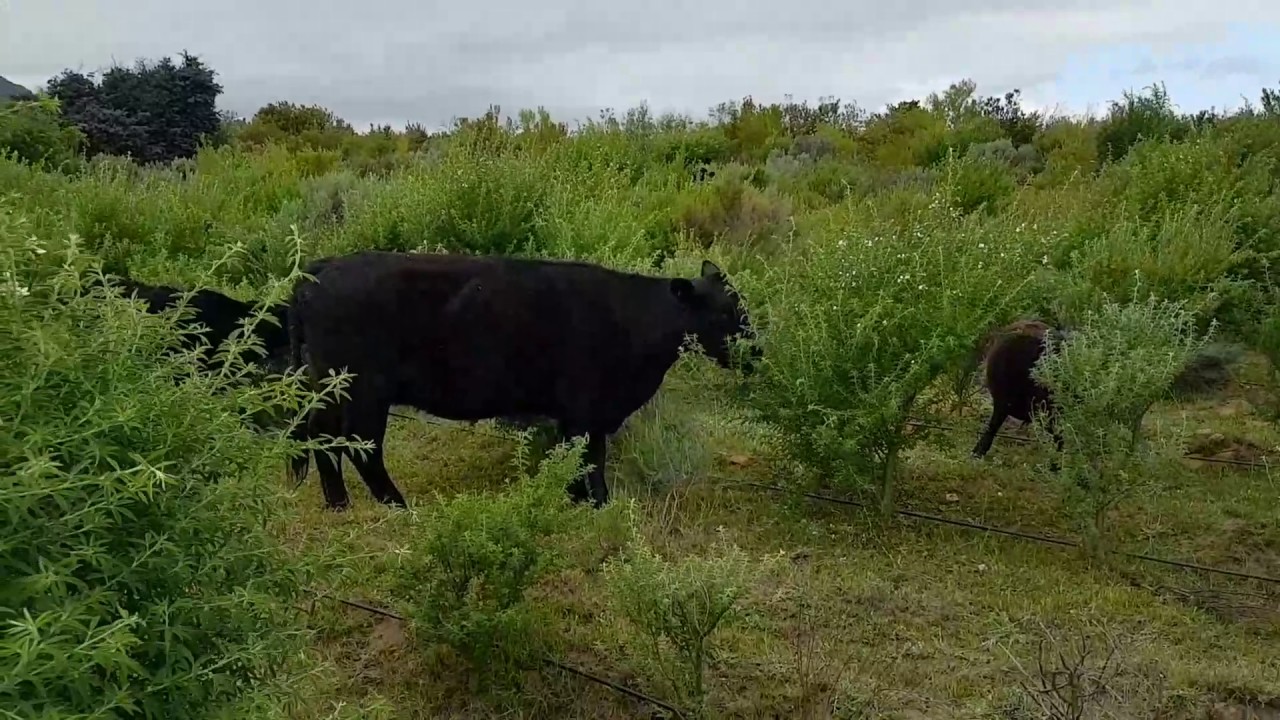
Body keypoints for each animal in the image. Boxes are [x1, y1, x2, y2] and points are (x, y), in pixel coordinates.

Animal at [285, 250, 761, 511]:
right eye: (724, 312)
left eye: (741, 305)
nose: (757, 352)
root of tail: (322, 268)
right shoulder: (585, 411)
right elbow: (591, 460)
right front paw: (599, 505)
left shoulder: (579, 416)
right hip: (365, 389)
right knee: (360, 445)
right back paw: (399, 508)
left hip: (333, 387)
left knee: (320, 434)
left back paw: (339, 504)